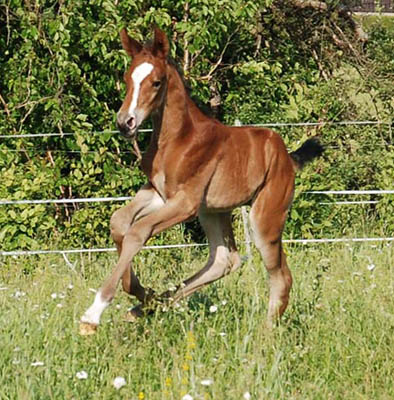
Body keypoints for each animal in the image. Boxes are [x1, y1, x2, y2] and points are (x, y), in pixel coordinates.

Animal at [79, 27, 324, 334]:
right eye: (127, 79)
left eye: (156, 82)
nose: (126, 123)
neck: (177, 140)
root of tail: (288, 157)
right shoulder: (158, 193)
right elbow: (119, 221)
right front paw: (141, 293)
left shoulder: (186, 203)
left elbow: (138, 231)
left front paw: (94, 313)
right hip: (214, 211)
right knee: (225, 260)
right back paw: (145, 307)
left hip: (264, 217)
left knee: (280, 276)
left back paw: (266, 333)